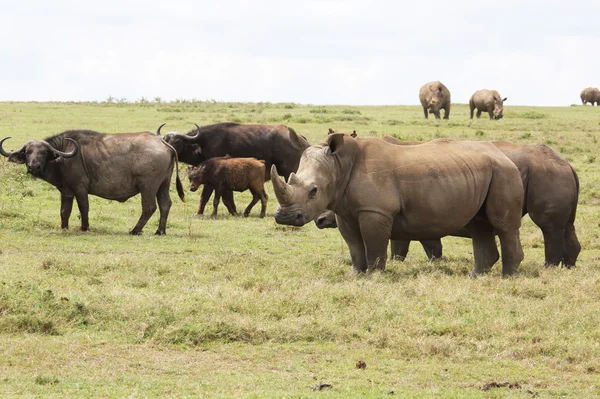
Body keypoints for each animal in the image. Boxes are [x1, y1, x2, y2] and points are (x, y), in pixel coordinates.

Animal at [0, 129, 184, 234]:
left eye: (44, 152)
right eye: (27, 152)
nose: (34, 166)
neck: (64, 155)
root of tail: (162, 142)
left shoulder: (80, 188)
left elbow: (84, 207)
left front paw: (84, 228)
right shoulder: (66, 191)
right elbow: (64, 211)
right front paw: (64, 228)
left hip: (148, 186)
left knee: (149, 207)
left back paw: (135, 230)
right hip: (163, 184)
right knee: (165, 204)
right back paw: (160, 231)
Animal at [159, 122, 310, 217]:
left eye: (177, 142)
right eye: (165, 140)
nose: (167, 149)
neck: (202, 144)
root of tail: (300, 140)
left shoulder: (212, 180)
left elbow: (205, 196)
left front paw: (199, 212)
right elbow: (225, 197)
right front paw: (233, 211)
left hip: (289, 173)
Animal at [274, 133, 524, 276]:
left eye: (313, 191)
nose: (284, 217)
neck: (339, 164)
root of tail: (503, 155)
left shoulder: (376, 210)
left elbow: (374, 244)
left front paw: (375, 276)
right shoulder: (344, 211)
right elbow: (354, 246)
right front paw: (355, 274)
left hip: (504, 172)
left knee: (503, 226)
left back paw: (508, 277)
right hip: (480, 173)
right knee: (478, 225)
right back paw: (476, 276)